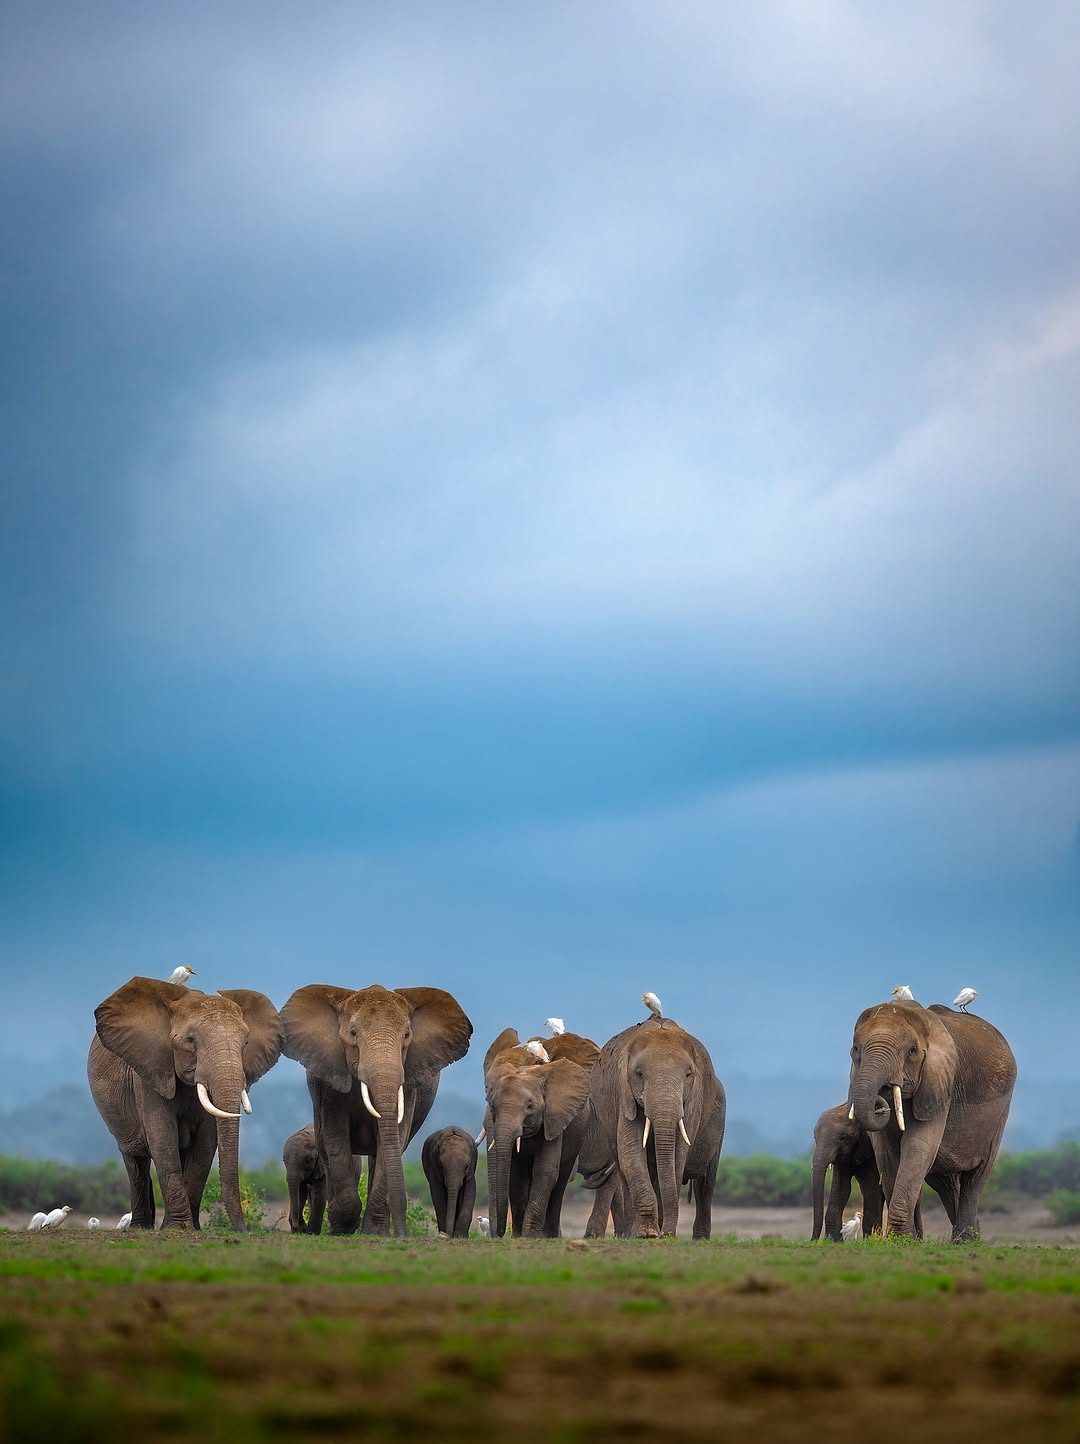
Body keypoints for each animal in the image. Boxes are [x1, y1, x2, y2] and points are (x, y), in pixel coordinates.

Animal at [88, 977, 283, 1231]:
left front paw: (190, 1228)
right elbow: (163, 1137)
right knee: (135, 1160)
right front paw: (178, 1228)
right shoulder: (151, 1070)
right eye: (190, 1041)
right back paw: (140, 1227)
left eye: (246, 1042)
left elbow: (205, 1145)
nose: (243, 1230)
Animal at [280, 983, 472, 1236]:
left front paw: (374, 1233)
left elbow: (393, 1138)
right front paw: (342, 1228)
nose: (402, 1234)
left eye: (407, 1035)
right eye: (353, 1033)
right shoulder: (328, 1086)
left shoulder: (408, 1085)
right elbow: (336, 1138)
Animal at [482, 1028, 597, 1238]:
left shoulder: (555, 1116)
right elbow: (516, 1175)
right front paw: (519, 1236)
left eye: (530, 1106)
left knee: (561, 1180)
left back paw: (550, 1235)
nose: (499, 1233)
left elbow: (545, 1170)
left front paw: (530, 1236)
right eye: (492, 1105)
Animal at [583, 1015, 726, 1238]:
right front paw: (646, 1233)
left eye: (688, 1074)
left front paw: (658, 1232)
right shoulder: (624, 1095)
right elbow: (632, 1152)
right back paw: (631, 1233)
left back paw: (699, 1239)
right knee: (623, 1166)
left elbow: (677, 1156)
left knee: (706, 1183)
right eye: (639, 1074)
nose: (666, 1234)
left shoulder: (693, 1101)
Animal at [847, 999, 1016, 1241]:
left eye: (912, 1051)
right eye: (855, 1050)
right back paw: (970, 1236)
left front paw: (901, 1239)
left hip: (1000, 1114)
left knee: (977, 1176)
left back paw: (965, 1241)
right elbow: (887, 1153)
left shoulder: (940, 1084)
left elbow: (918, 1145)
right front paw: (907, 1239)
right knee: (944, 1182)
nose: (883, 1094)